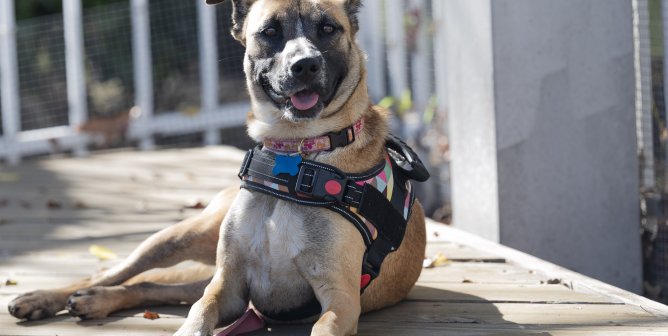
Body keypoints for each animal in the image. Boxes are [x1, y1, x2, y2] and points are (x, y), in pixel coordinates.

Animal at [7, 1, 426, 334]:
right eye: (269, 32)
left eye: (328, 29)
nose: (304, 65)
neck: (296, 154)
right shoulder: (227, 285)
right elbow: (199, 315)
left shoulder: (340, 299)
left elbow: (321, 326)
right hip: (180, 239)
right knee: (117, 272)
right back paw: (43, 297)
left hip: (196, 267)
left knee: (148, 285)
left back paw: (93, 300)